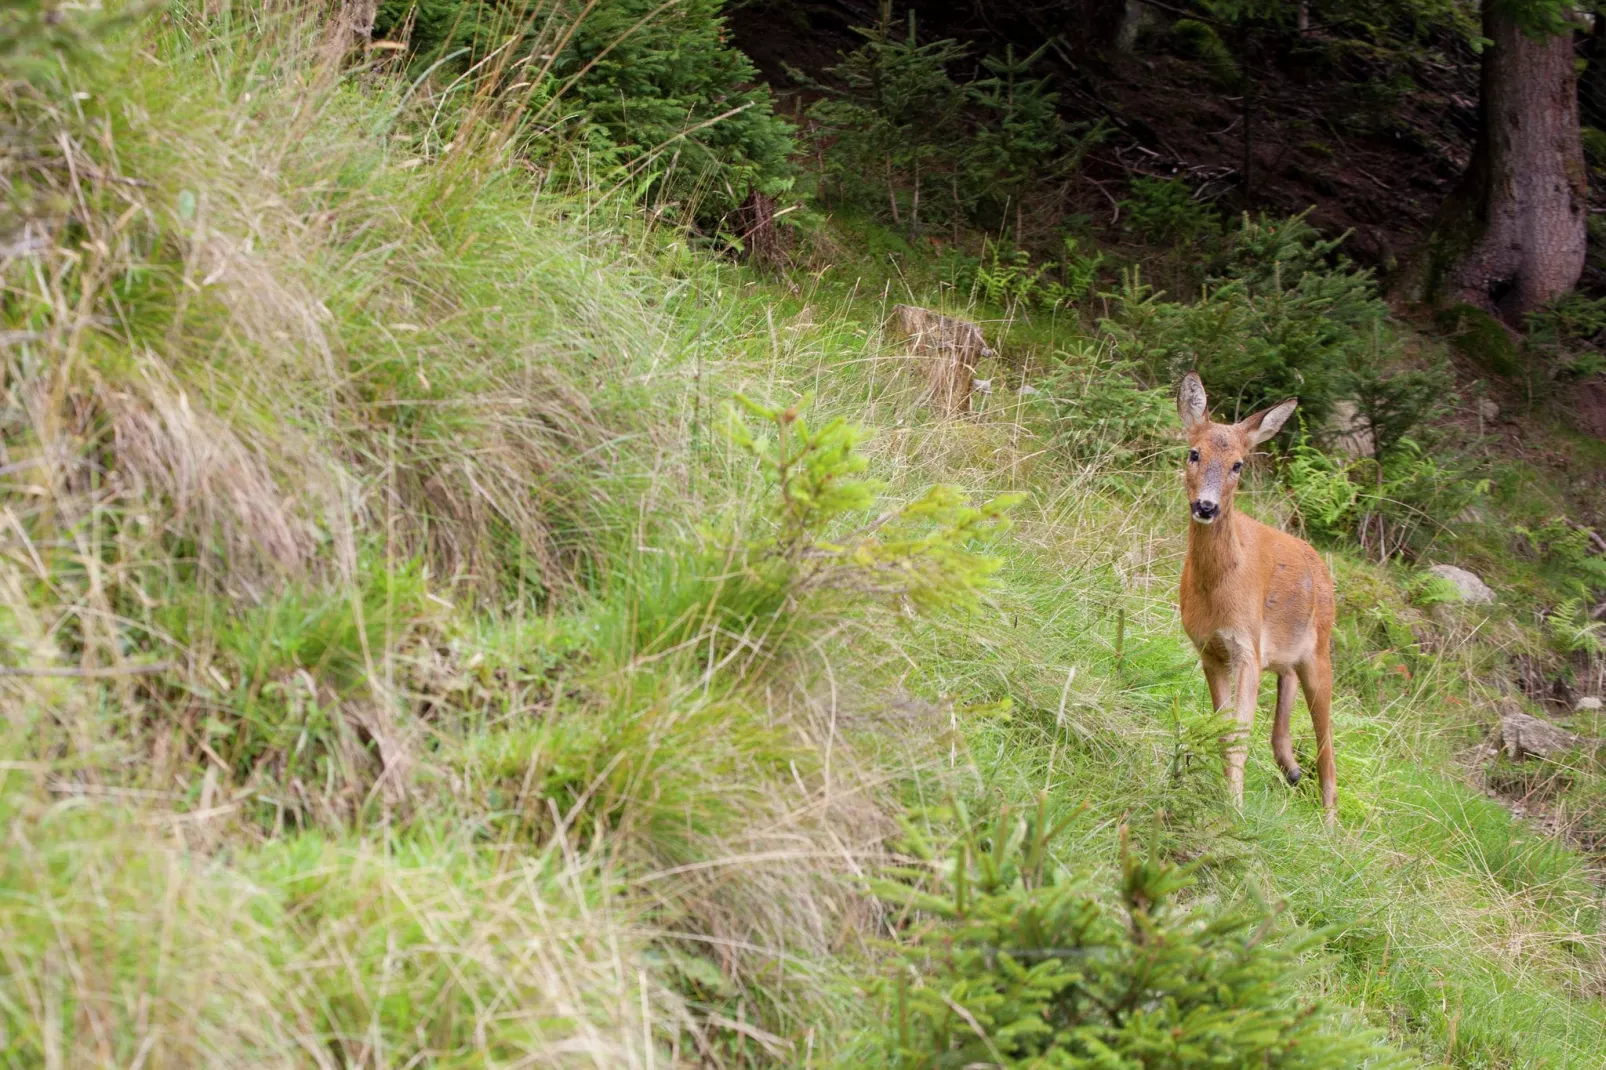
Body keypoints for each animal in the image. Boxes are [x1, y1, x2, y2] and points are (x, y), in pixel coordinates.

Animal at [1175, 371, 1336, 819]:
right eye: (1193, 452)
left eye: (1238, 464)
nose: (1206, 506)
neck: (1218, 590)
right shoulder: (1209, 650)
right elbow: (1222, 729)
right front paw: (1224, 795)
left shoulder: (1246, 646)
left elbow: (1239, 733)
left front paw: (1234, 806)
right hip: (1283, 652)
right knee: (1286, 681)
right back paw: (1291, 769)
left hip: (1321, 652)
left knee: (1327, 744)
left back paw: (1331, 821)